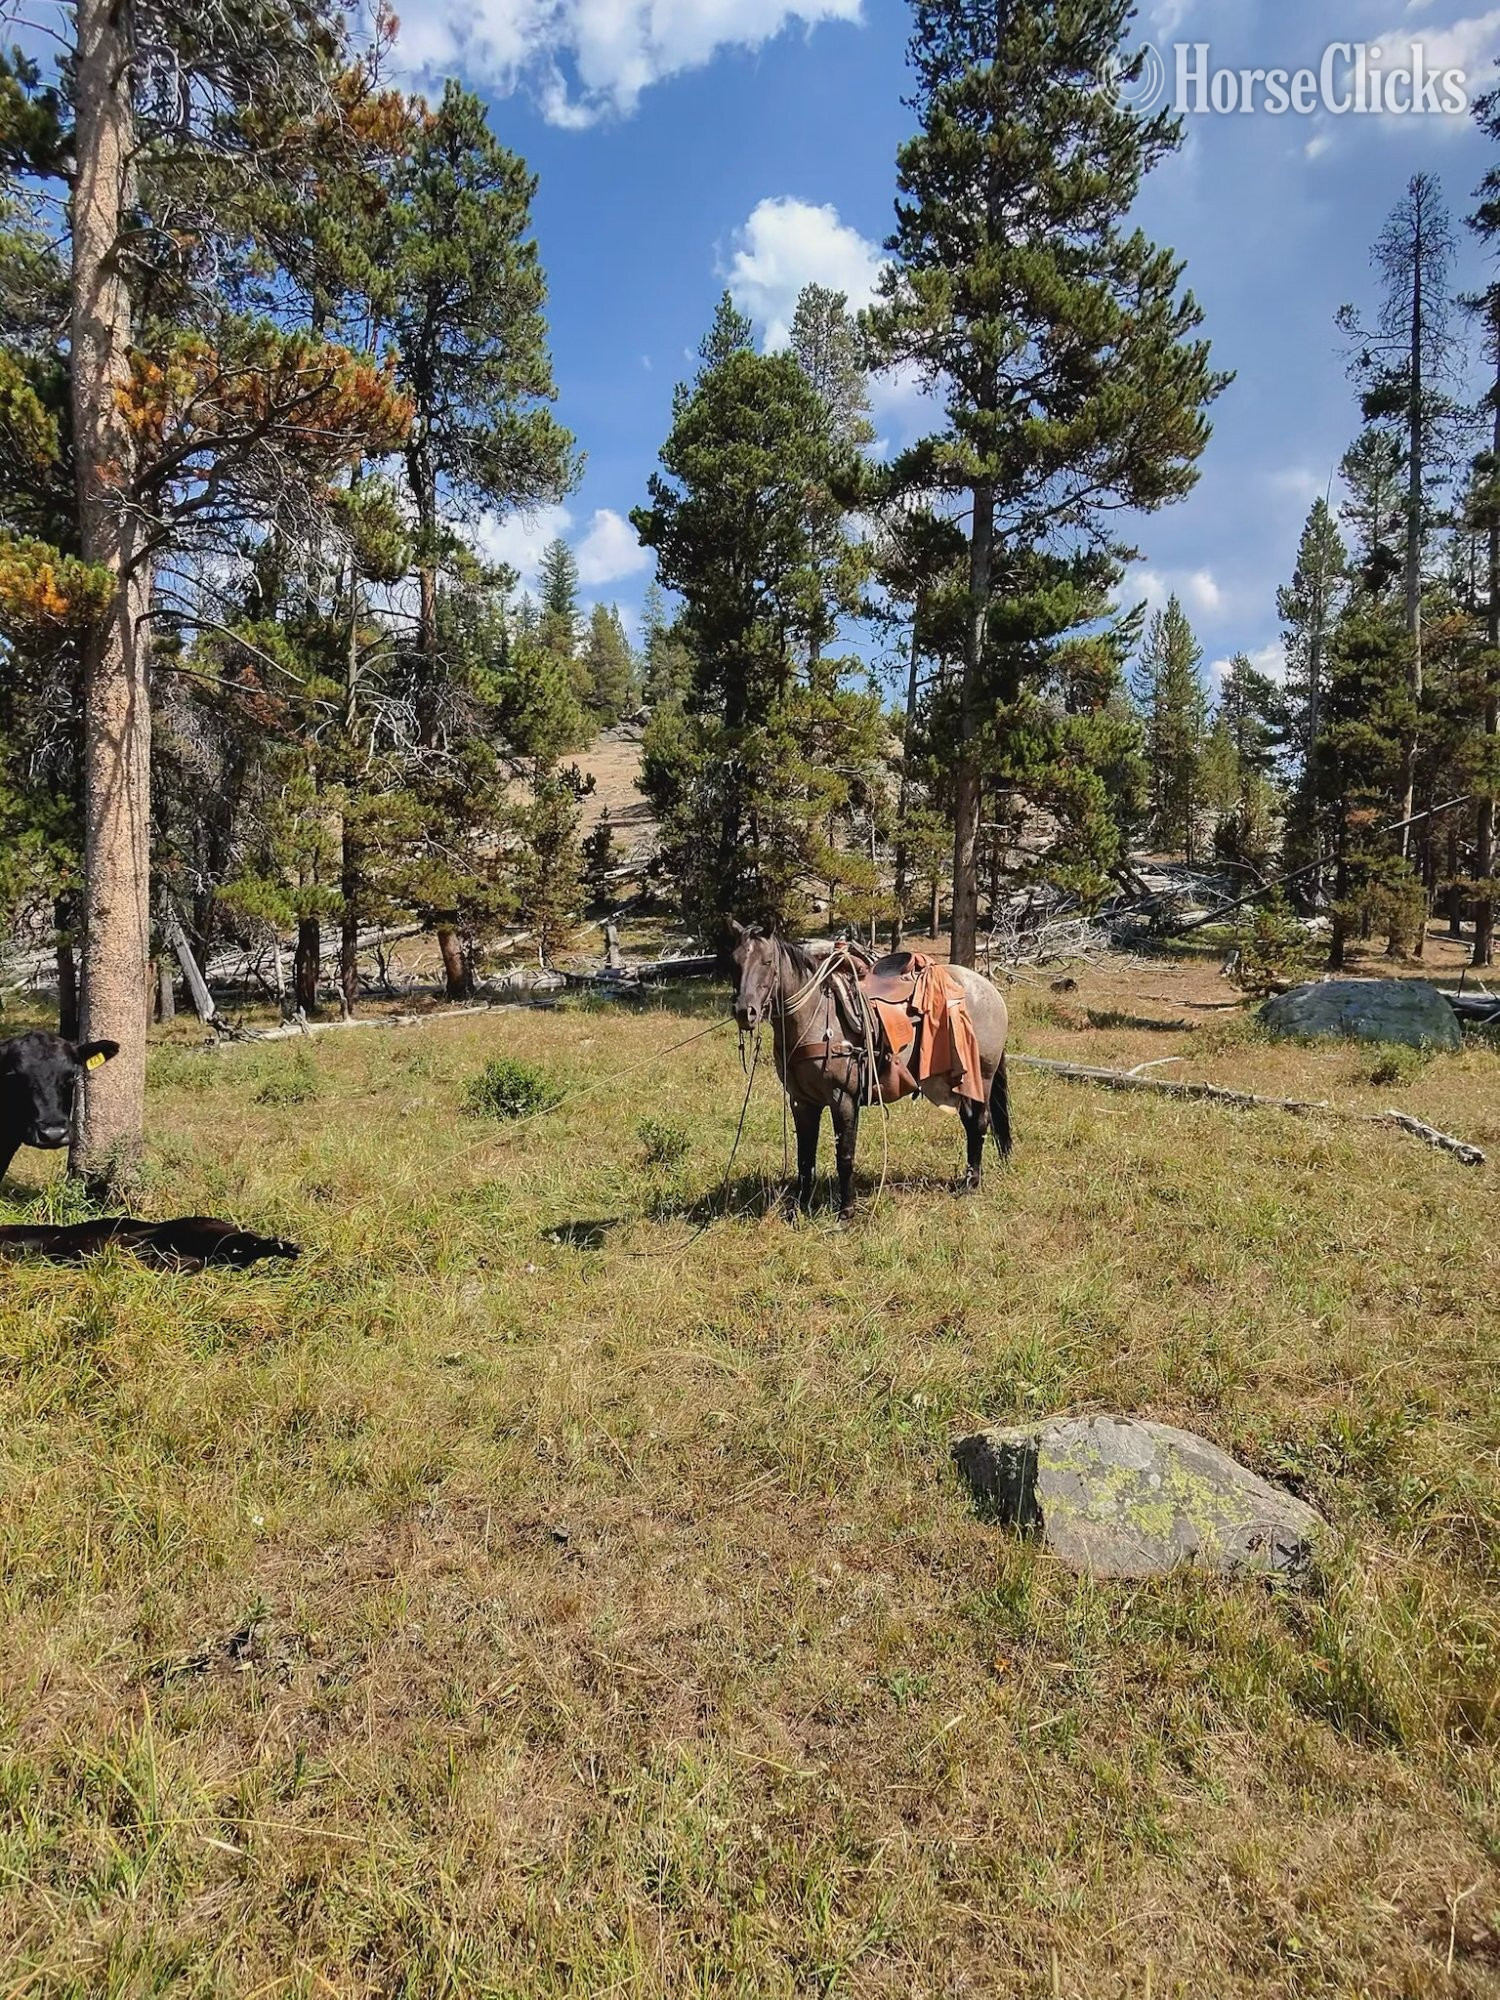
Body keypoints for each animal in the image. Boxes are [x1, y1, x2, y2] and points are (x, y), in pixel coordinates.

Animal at [726, 922, 1012, 1223]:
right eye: (734, 962)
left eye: (768, 962)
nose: (745, 1012)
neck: (815, 1016)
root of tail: (988, 988)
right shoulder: (802, 1101)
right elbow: (805, 1157)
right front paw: (798, 1210)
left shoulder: (843, 1099)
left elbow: (845, 1156)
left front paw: (845, 1213)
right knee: (970, 1122)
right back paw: (969, 1179)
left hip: (982, 1076)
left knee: (979, 1122)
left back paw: (971, 1184)